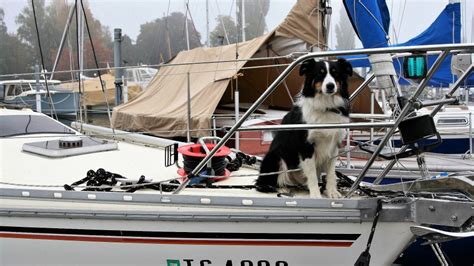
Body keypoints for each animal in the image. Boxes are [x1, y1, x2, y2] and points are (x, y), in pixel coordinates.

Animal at [256, 58, 352, 200]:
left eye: (336, 73)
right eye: (320, 74)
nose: (330, 86)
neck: (326, 106)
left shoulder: (334, 145)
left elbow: (331, 173)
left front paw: (331, 192)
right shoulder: (306, 146)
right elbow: (311, 173)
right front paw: (316, 195)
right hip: (275, 157)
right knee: (263, 184)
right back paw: (281, 188)